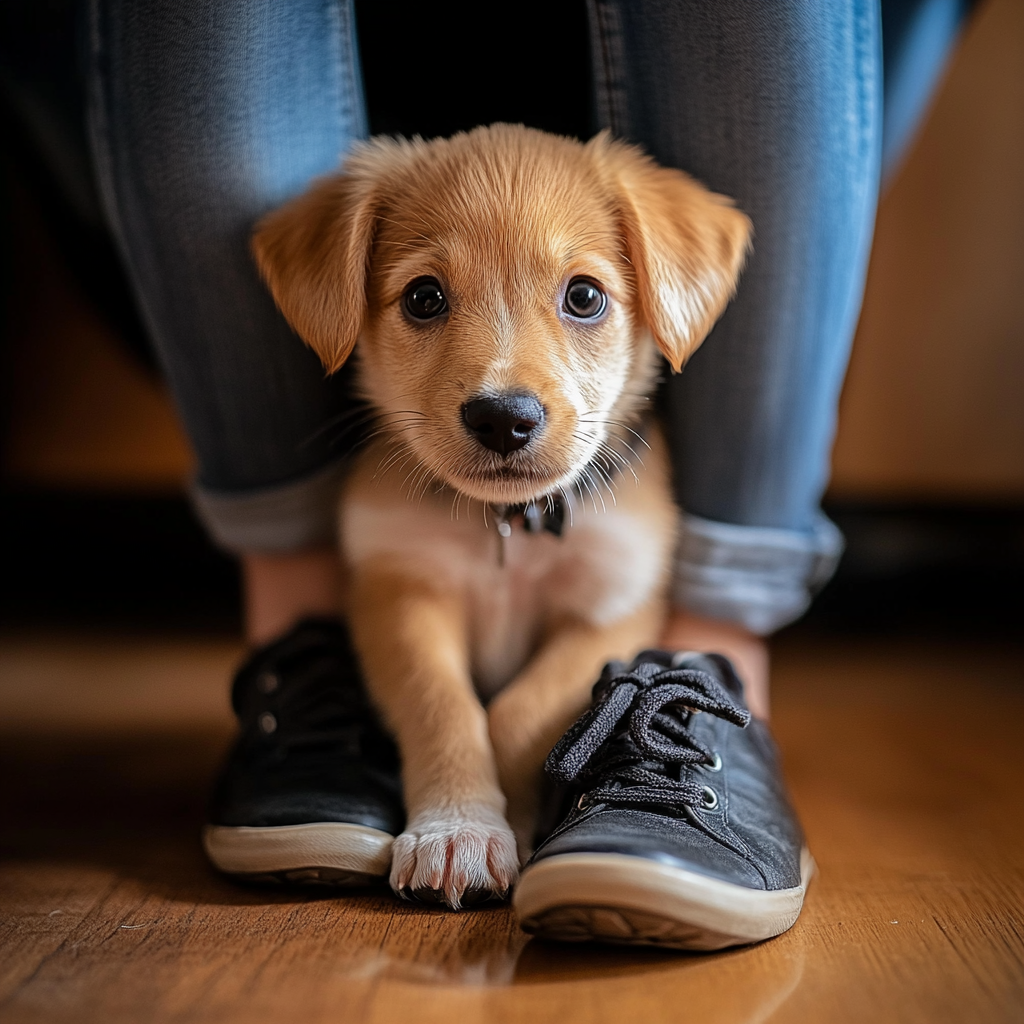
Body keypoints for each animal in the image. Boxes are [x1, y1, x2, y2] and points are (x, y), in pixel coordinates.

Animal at [251, 123, 749, 909]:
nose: (503, 418)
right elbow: (447, 708)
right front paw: (457, 830)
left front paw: (502, 823)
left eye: (584, 296)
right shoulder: (399, 591)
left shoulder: (613, 606)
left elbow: (516, 712)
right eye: (424, 297)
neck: (508, 528)